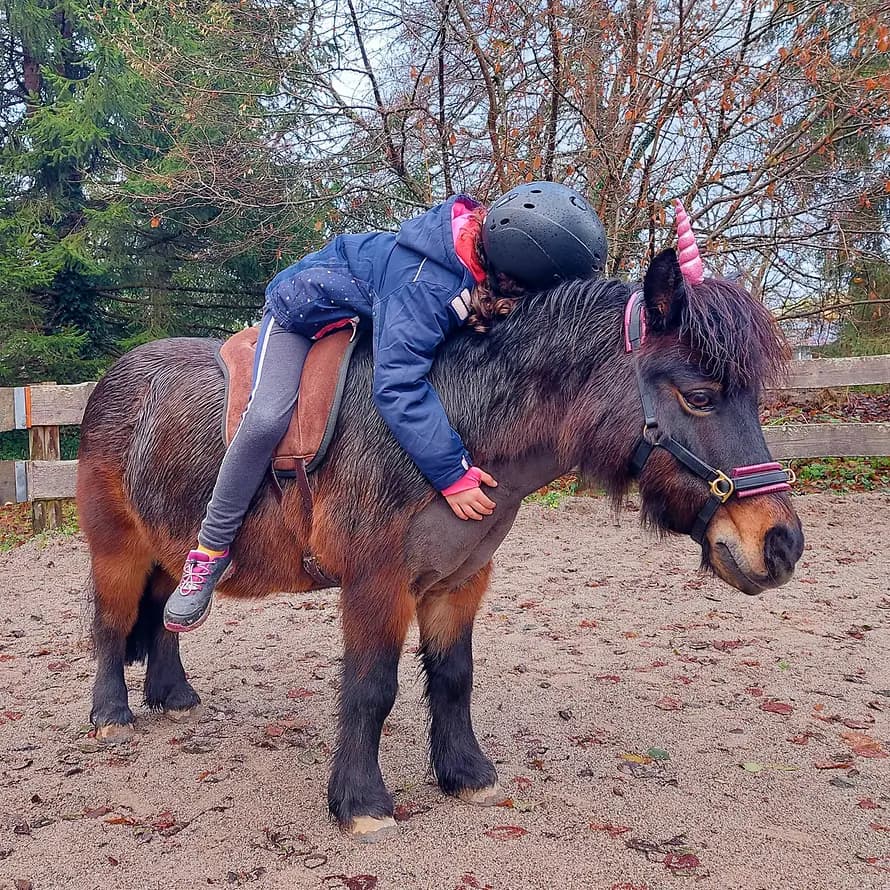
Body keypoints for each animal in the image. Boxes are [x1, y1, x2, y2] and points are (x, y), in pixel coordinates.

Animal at [77, 242, 803, 841]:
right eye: (701, 396)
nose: (781, 544)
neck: (446, 426)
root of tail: (116, 379)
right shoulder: (377, 583)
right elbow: (372, 688)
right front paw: (361, 804)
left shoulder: (459, 581)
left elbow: (454, 678)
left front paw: (466, 774)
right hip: (117, 549)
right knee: (112, 623)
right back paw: (112, 713)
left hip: (167, 547)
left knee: (166, 618)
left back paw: (173, 695)